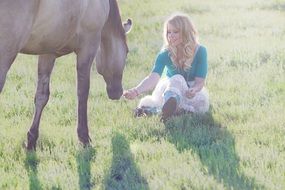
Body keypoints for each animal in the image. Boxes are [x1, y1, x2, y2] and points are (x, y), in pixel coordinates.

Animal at [0, 0, 131, 151]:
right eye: (127, 52)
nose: (118, 92)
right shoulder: (88, 47)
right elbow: (82, 93)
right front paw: (84, 138)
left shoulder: (48, 52)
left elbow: (42, 96)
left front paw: (31, 140)